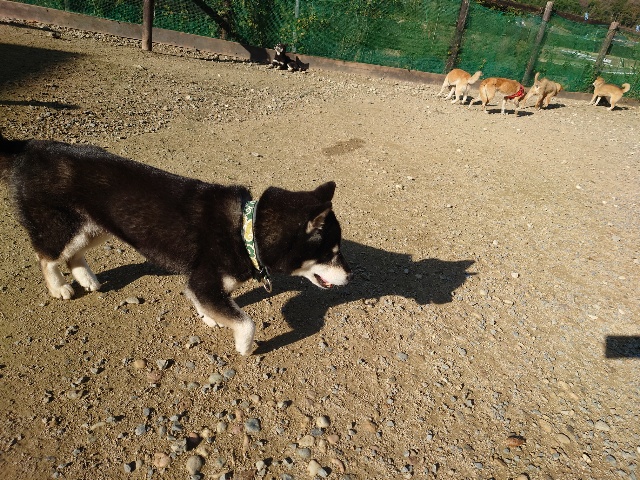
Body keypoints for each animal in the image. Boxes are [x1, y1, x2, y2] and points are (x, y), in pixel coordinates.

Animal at [0, 134, 351, 355]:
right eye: (332, 253)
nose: (350, 277)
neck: (245, 230)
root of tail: (29, 147)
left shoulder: (200, 281)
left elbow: (206, 301)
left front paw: (209, 318)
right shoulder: (206, 280)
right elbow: (246, 322)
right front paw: (243, 346)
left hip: (96, 227)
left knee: (74, 255)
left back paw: (86, 278)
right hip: (62, 226)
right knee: (47, 257)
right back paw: (59, 286)